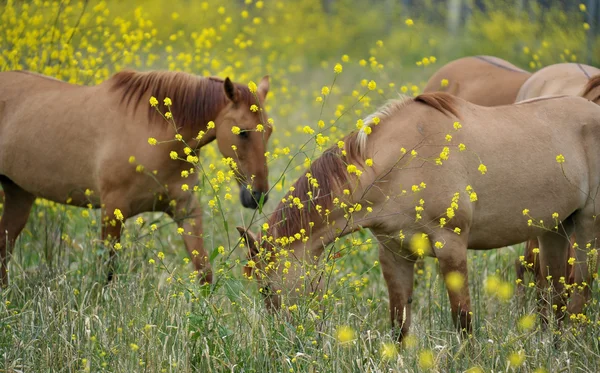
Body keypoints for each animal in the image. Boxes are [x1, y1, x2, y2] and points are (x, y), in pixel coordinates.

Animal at [0, 70, 272, 284]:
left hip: (19, 193)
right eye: (242, 132)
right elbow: (107, 271)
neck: (153, 135)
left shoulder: (186, 210)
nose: (257, 196)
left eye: (269, 130)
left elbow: (204, 271)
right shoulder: (112, 211)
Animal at [237, 91, 600, 338]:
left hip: (586, 228)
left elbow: (463, 320)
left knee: (580, 293)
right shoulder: (394, 253)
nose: (283, 336)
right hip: (554, 229)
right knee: (554, 296)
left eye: (266, 288)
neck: (402, 160)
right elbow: (399, 323)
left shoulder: (451, 247)